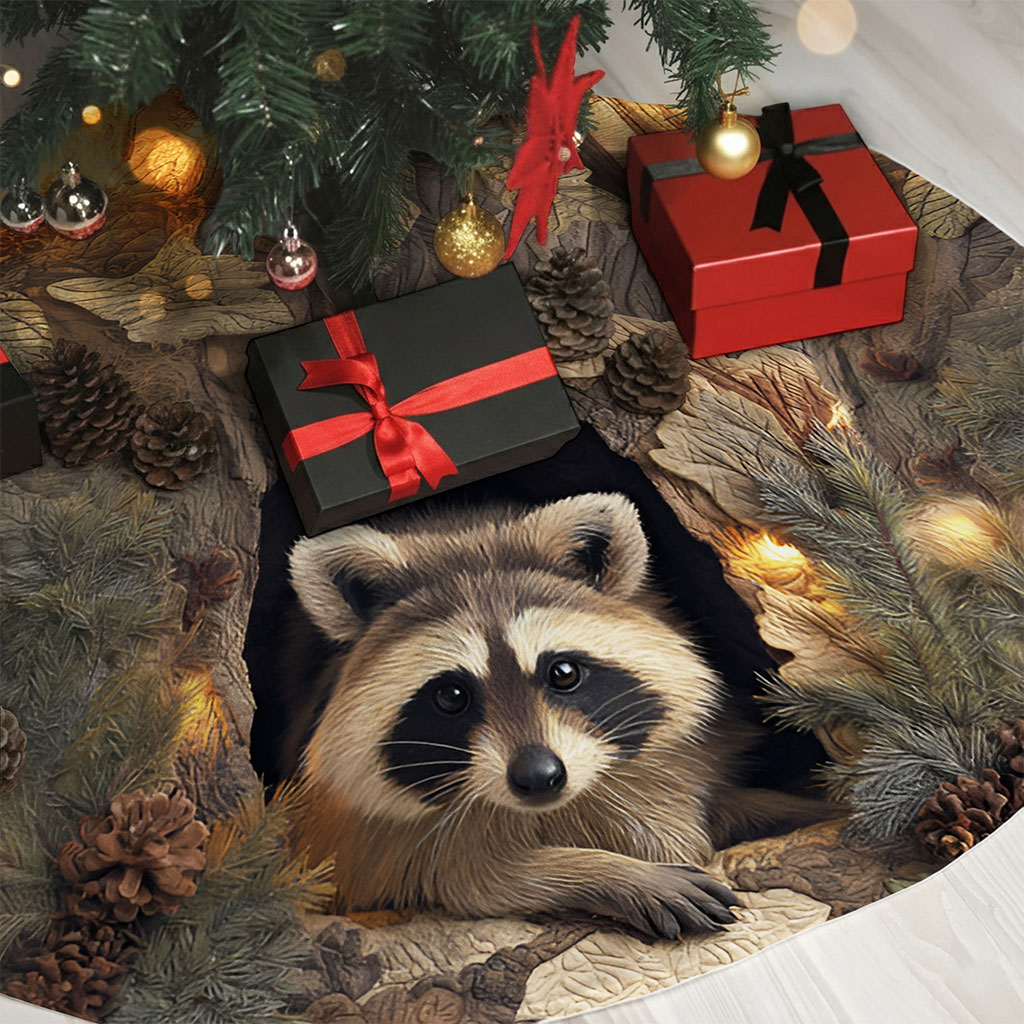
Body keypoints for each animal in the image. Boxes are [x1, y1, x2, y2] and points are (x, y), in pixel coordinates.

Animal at [281, 493, 811, 938]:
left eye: (563, 673)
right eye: (451, 695)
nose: (538, 777)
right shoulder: (367, 837)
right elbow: (474, 881)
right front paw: (609, 871)